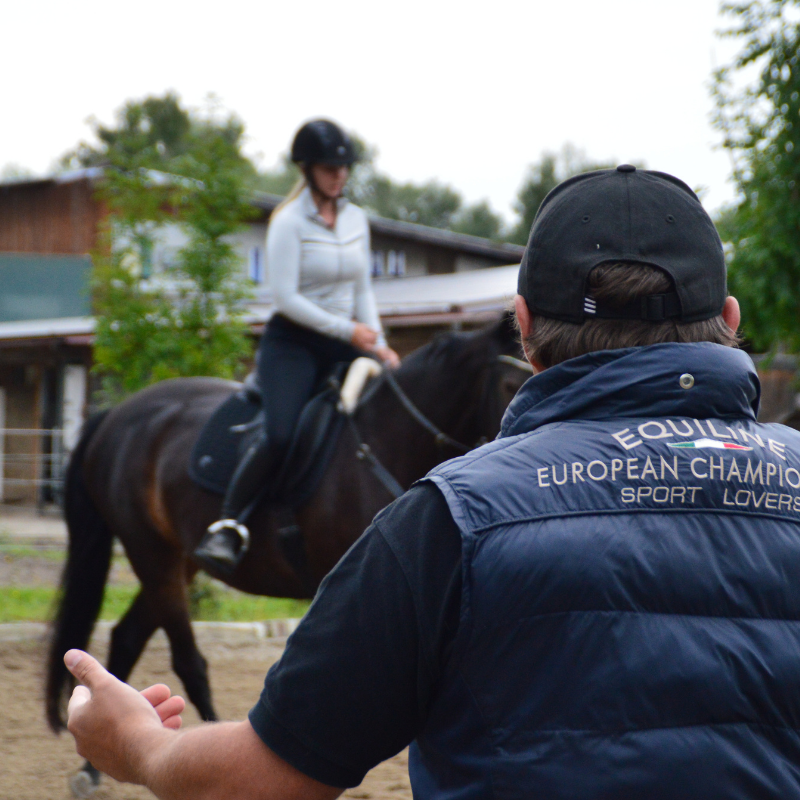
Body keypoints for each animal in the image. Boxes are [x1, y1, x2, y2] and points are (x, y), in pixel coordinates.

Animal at [47, 316, 528, 736]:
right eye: (509, 384)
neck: (385, 442)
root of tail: (116, 414)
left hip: (179, 562)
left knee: (126, 639)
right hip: (152, 554)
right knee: (188, 662)